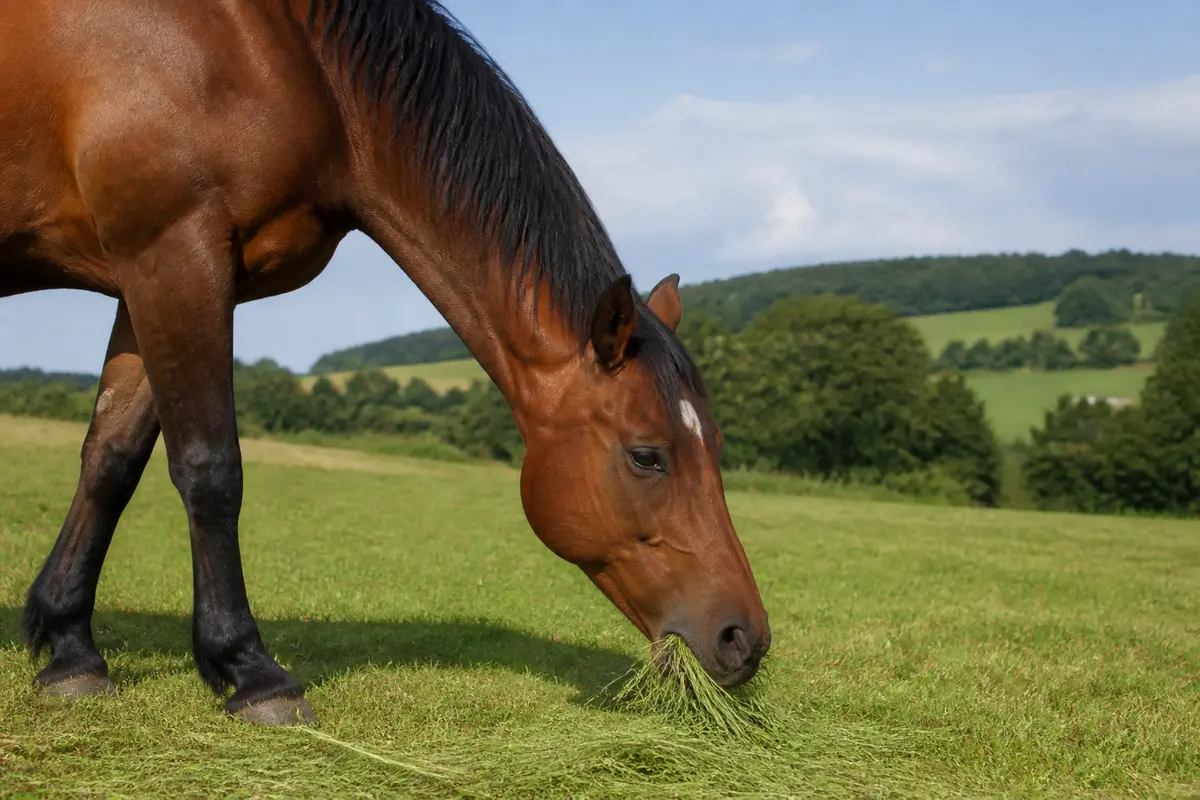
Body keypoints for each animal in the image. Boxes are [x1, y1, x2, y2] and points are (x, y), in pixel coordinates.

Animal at [0, 0, 771, 726]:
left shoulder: (147, 275)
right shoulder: (175, 254)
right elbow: (211, 470)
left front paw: (70, 649)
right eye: (646, 456)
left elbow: (111, 460)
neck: (284, 53)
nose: (746, 639)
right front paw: (250, 671)